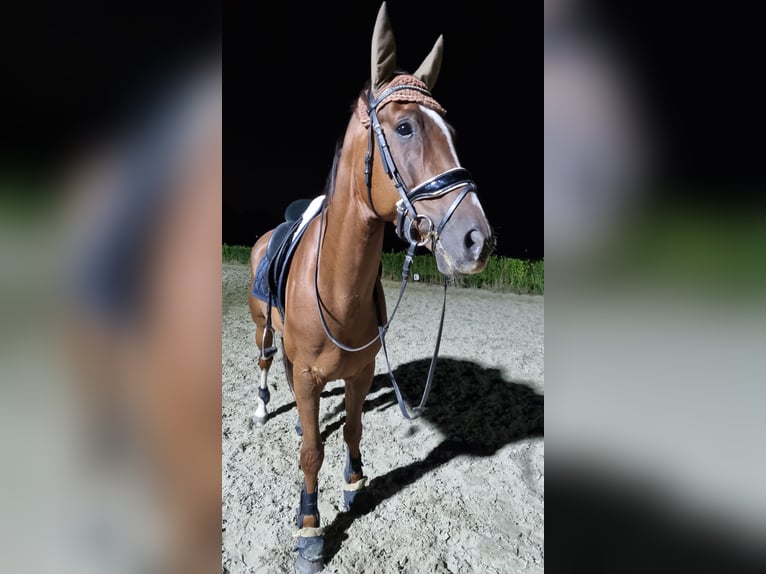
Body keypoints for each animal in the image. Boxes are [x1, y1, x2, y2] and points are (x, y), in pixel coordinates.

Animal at [248, 3, 493, 571]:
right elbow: (312, 452)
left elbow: (353, 430)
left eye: (450, 129)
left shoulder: (359, 374)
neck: (339, 289)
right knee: (269, 360)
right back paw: (263, 406)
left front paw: (355, 484)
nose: (478, 239)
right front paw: (310, 526)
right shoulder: (312, 376)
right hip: (260, 326)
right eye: (404, 127)